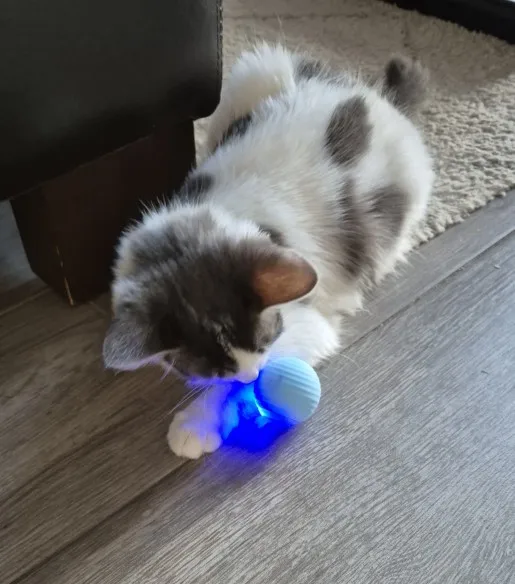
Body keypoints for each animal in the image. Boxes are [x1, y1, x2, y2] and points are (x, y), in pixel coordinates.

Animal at [103, 44, 433, 459]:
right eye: (215, 368)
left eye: (262, 343)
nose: (251, 375)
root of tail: (377, 98)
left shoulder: (308, 321)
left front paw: (197, 423)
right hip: (251, 78)